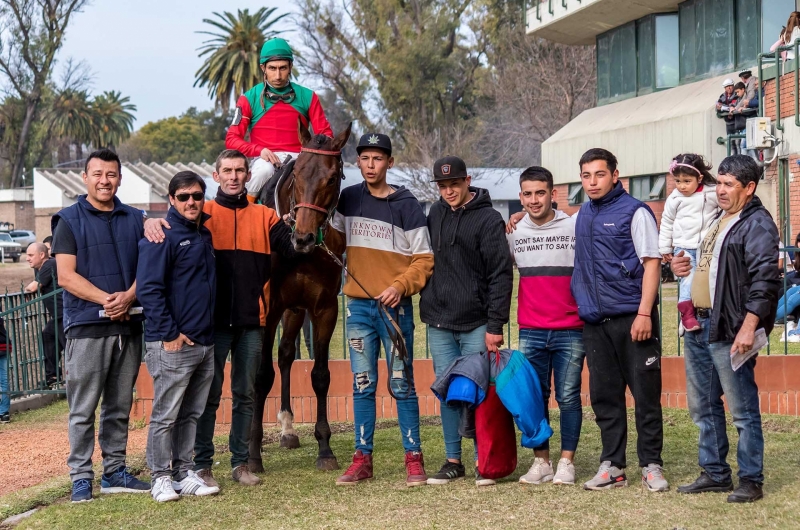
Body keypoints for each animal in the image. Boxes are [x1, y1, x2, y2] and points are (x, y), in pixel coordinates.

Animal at [248, 121, 352, 468]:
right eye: (298, 175)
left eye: (331, 178)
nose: (303, 238)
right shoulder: (267, 310)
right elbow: (260, 375)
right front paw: (253, 452)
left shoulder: (324, 308)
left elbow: (320, 375)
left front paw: (325, 448)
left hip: (294, 310)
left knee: (285, 354)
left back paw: (287, 427)